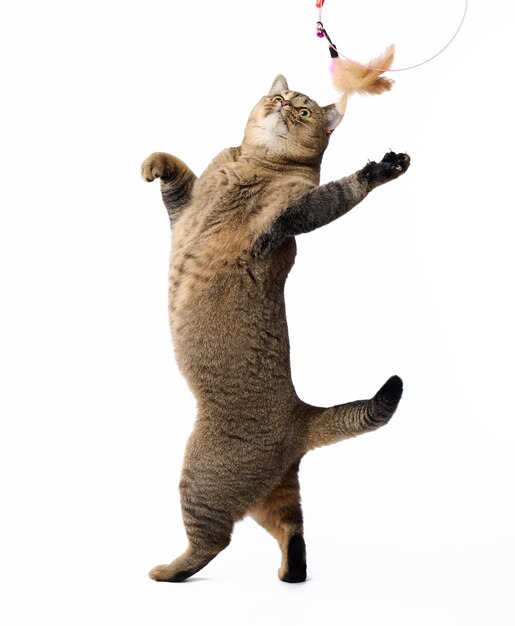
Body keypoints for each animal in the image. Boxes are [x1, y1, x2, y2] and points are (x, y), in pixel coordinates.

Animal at [141, 75, 412, 584]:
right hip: (274, 495)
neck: (254, 163)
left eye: (304, 112)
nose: (284, 105)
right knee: (293, 530)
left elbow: (338, 194)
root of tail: (301, 414)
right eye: (278, 98)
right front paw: (155, 163)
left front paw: (383, 169)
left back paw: (166, 572)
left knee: (212, 541)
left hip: (202, 477)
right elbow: (179, 174)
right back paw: (290, 574)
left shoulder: (291, 213)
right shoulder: (183, 211)